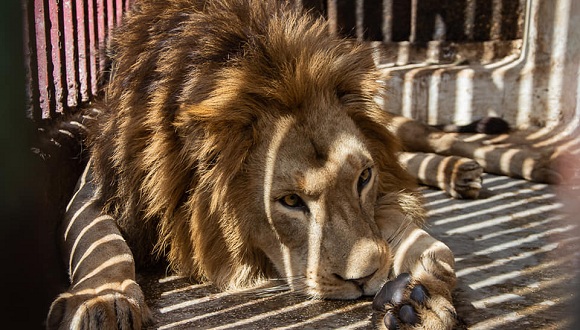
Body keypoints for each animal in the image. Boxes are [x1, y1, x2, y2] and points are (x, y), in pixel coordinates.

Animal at [46, 0, 568, 330]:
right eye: (291, 202)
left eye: (362, 177)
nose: (364, 281)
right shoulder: (100, 190)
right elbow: (102, 246)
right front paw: (104, 300)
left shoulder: (379, 190)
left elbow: (419, 237)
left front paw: (422, 294)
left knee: (436, 138)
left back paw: (527, 164)